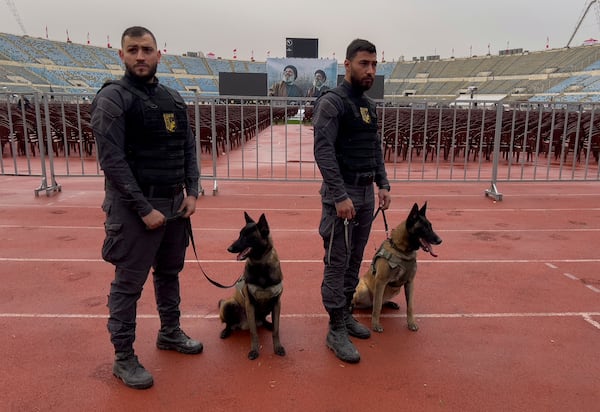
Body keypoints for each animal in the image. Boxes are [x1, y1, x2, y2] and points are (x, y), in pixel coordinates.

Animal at [219, 212, 288, 360]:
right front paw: (254, 350)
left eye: (247, 236)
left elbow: (276, 330)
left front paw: (278, 347)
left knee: (263, 320)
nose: (229, 249)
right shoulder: (249, 304)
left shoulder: (276, 303)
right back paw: (226, 331)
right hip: (228, 304)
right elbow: (254, 333)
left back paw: (268, 324)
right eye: (239, 234)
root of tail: (242, 325)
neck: (260, 264)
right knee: (230, 323)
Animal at [352, 201, 440, 334]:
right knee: (366, 303)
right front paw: (375, 324)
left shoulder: (410, 283)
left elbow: (410, 306)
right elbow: (377, 307)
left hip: (395, 289)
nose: (440, 240)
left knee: (381, 301)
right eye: (424, 228)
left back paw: (390, 303)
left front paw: (411, 323)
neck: (402, 251)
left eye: (430, 226)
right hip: (363, 289)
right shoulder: (381, 282)